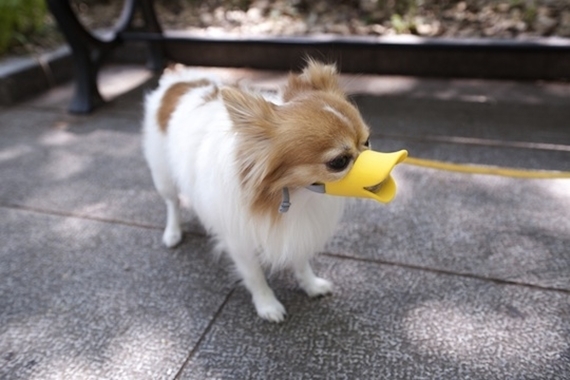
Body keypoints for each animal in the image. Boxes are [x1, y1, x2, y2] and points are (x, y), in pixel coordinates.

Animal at [143, 60, 368, 322]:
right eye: (339, 162)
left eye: (367, 141)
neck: (293, 194)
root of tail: (179, 80)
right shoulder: (240, 242)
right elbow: (255, 276)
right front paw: (267, 305)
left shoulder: (299, 230)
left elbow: (301, 262)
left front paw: (311, 285)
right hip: (163, 176)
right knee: (172, 203)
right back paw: (172, 233)